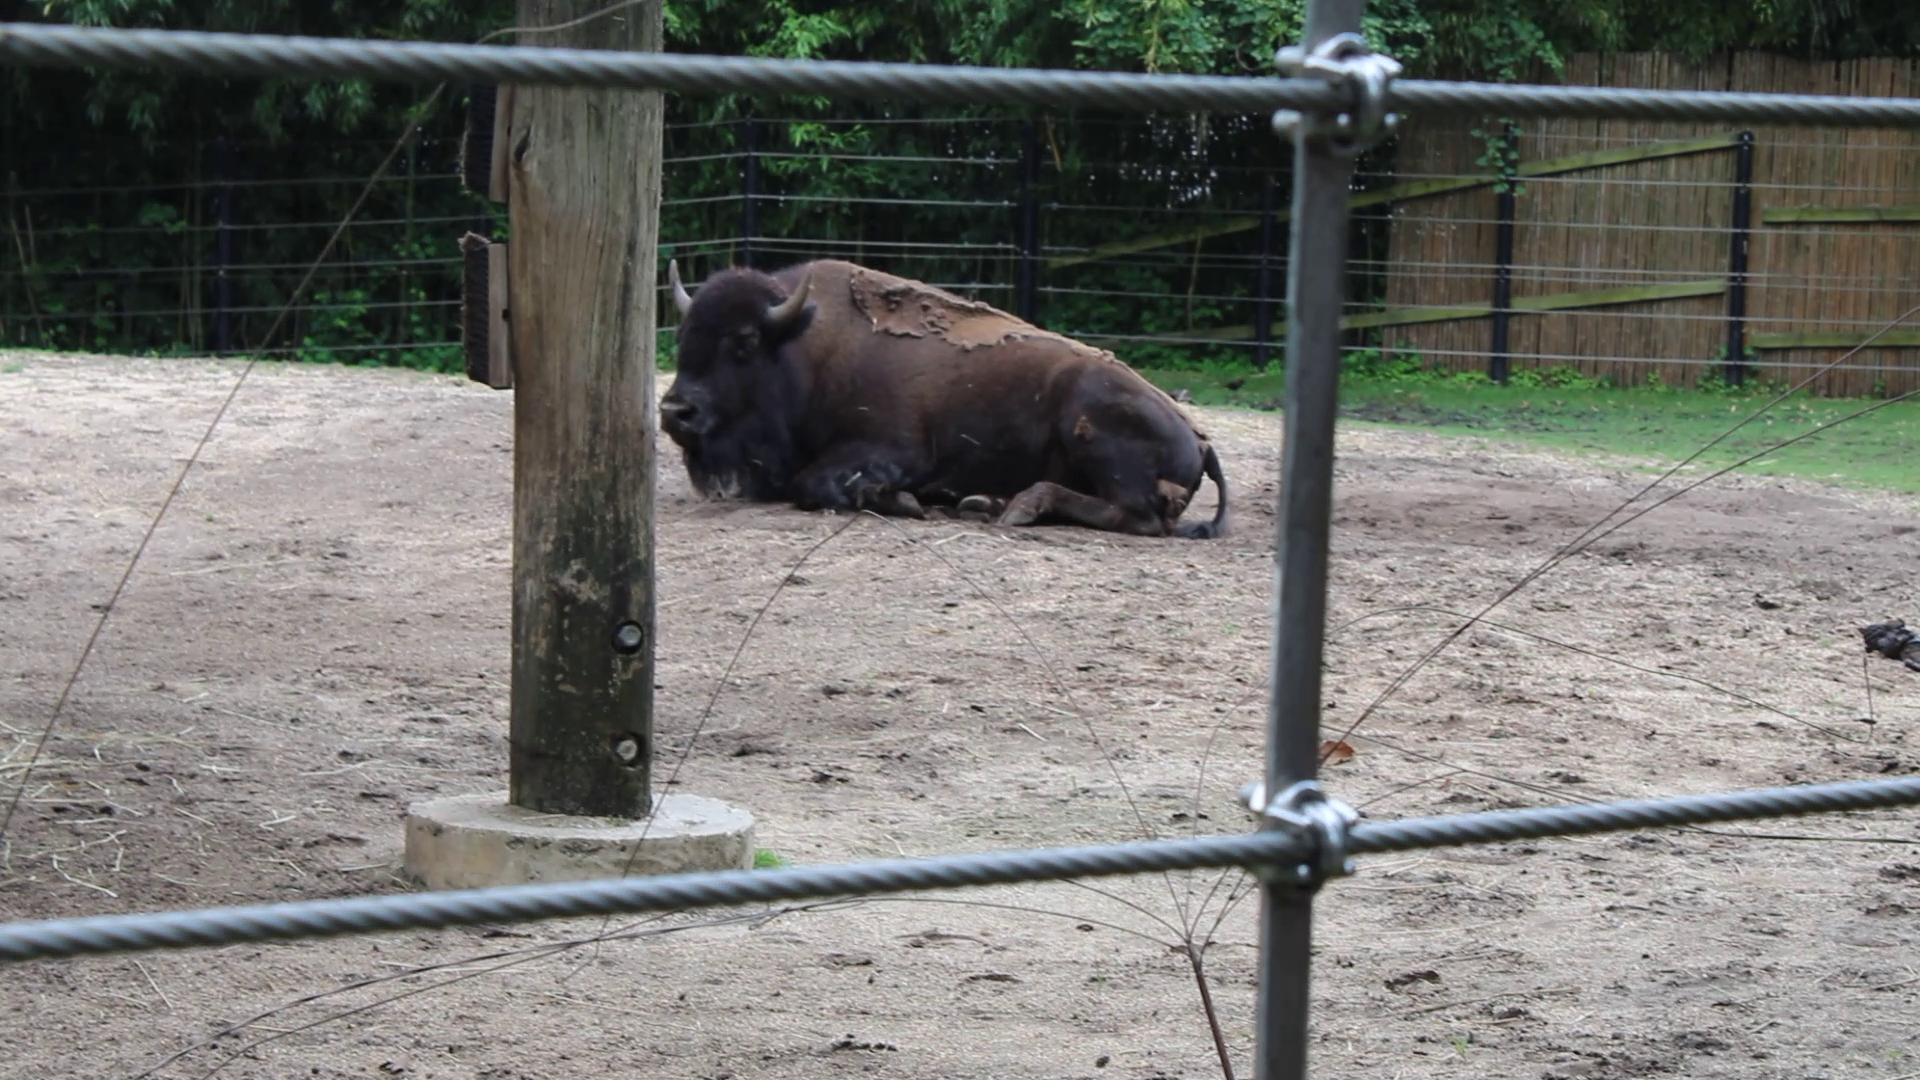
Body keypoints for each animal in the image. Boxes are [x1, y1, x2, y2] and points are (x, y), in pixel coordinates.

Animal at [658, 258, 1228, 539]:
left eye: (744, 342)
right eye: (684, 337)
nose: (675, 412)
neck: (803, 344)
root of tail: (1199, 439)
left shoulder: (893, 449)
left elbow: (813, 484)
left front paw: (902, 501)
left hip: (1089, 425)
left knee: (1135, 516)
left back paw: (1020, 506)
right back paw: (985, 502)